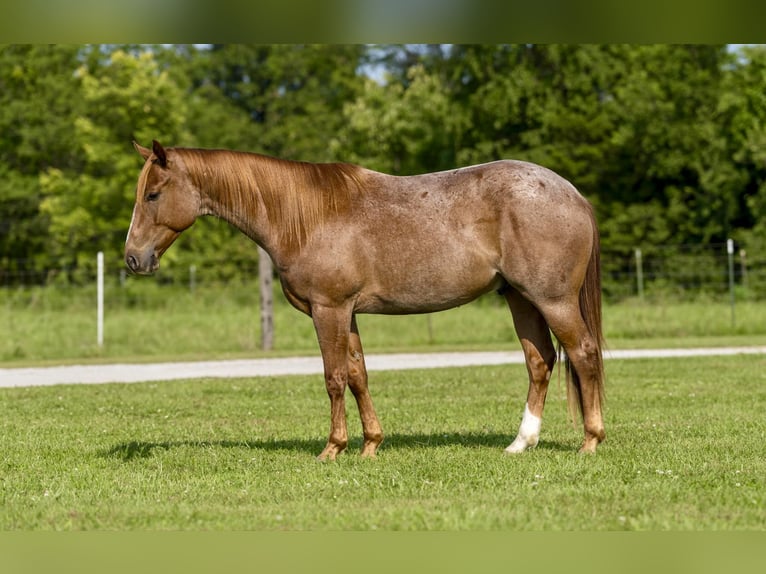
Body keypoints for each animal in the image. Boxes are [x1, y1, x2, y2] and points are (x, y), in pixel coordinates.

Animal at [126, 140, 608, 460]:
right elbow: (358, 375)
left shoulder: (329, 310)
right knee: (541, 361)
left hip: (553, 300)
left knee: (583, 354)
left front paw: (332, 449)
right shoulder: (348, 313)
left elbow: (334, 377)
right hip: (520, 299)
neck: (305, 216)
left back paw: (590, 441)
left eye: (153, 194)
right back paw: (521, 443)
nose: (133, 259)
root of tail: (573, 195)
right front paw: (370, 445)